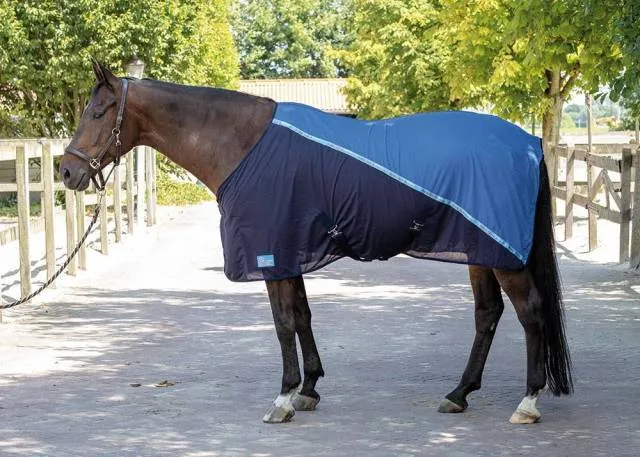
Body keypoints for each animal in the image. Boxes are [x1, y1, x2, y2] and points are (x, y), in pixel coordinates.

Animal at [60, 60, 572, 425]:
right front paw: (308, 390)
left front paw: (284, 397)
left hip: (504, 255)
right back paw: (458, 394)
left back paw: (527, 403)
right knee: (488, 315)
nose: (67, 171)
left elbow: (283, 322)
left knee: (530, 312)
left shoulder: (270, 254)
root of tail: (527, 143)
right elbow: (303, 316)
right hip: (480, 250)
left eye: (98, 111)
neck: (243, 145)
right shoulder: (291, 254)